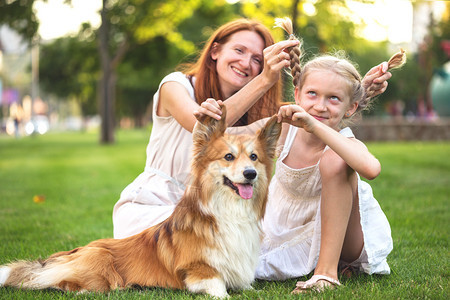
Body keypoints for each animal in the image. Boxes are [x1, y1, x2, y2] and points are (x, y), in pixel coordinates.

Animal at [0, 106, 282, 298]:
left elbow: (248, 287)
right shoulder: (199, 271)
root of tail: (65, 255)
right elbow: (219, 287)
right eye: (228, 157)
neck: (229, 212)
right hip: (101, 261)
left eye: (254, 157)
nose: (250, 174)